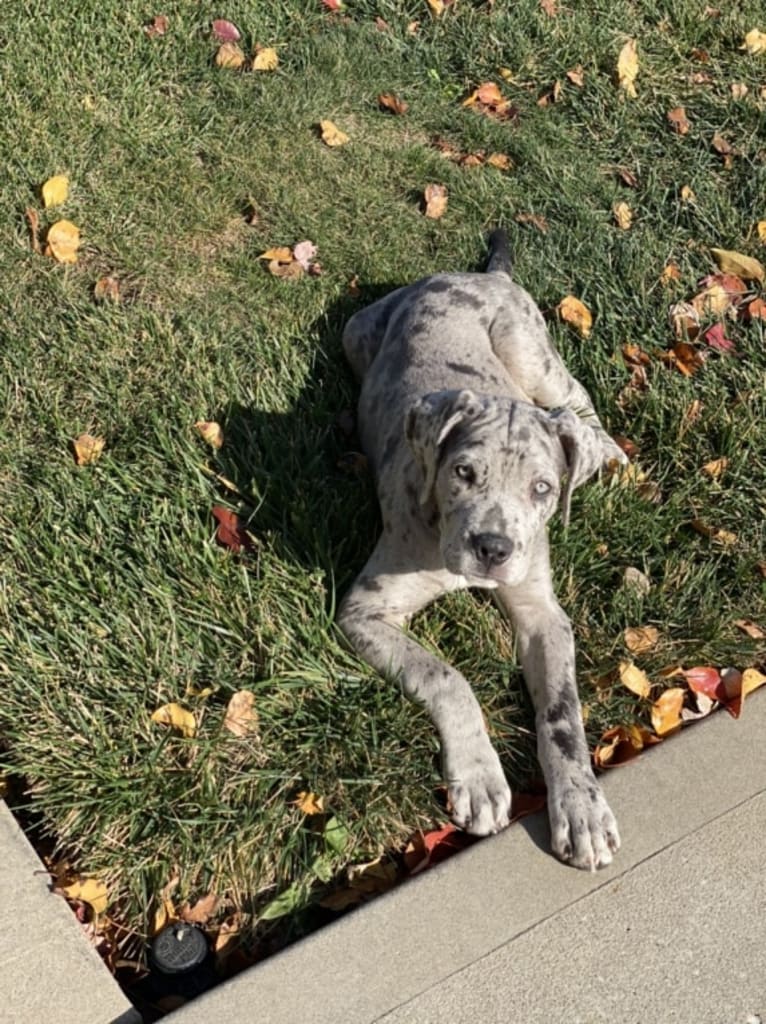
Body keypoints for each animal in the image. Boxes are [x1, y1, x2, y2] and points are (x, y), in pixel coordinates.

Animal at [337, 228, 626, 868]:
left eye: (542, 489)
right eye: (463, 473)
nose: (492, 548)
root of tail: (482, 276)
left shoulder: (542, 613)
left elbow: (562, 713)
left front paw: (582, 808)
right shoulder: (364, 613)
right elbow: (446, 676)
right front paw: (481, 778)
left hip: (530, 349)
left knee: (574, 401)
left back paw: (608, 452)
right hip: (355, 334)